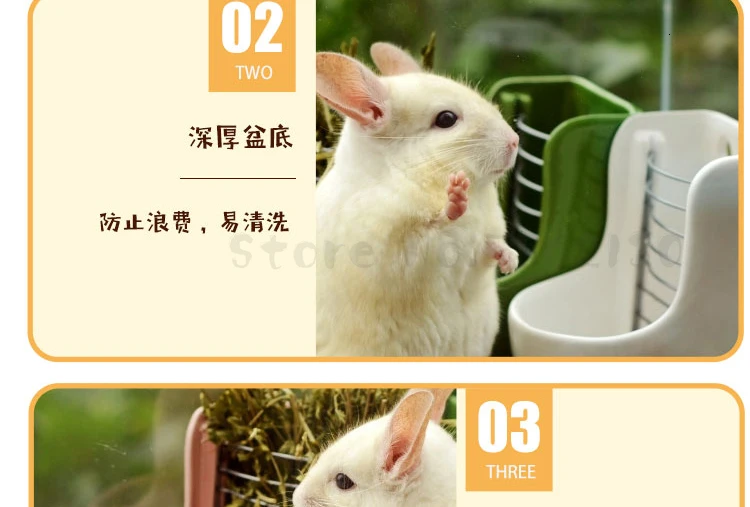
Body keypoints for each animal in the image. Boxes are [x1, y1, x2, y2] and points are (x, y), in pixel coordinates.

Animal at [316, 42, 520, 357]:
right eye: (446, 119)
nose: (515, 141)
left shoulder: (482, 243)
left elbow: (493, 246)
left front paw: (511, 261)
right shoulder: (391, 252)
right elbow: (430, 229)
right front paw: (455, 198)